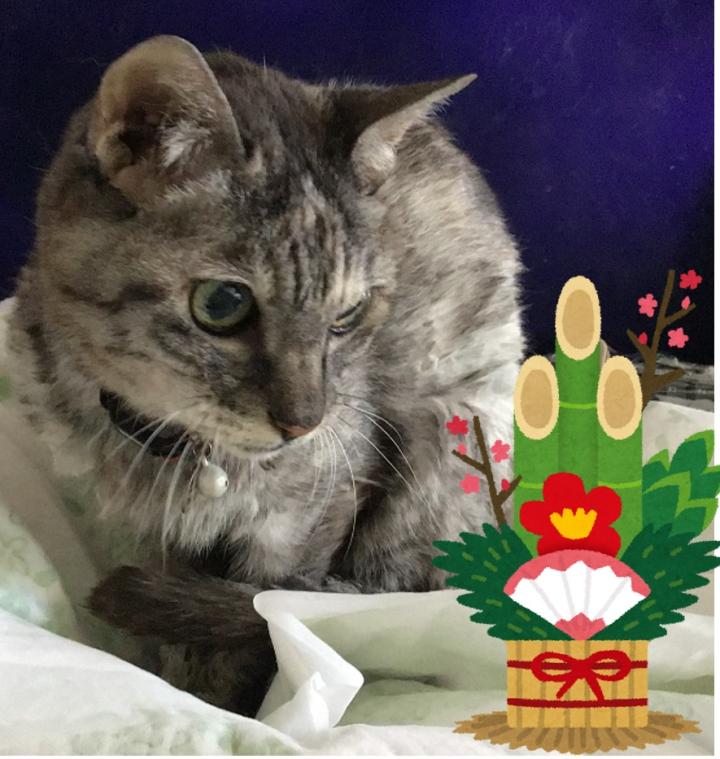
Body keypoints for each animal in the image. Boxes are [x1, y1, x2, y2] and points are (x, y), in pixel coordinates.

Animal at [7, 35, 523, 715]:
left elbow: (264, 615)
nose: (303, 422)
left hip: (448, 435)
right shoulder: (134, 527)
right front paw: (171, 675)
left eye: (348, 315)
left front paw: (231, 701)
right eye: (222, 304)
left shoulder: (318, 506)